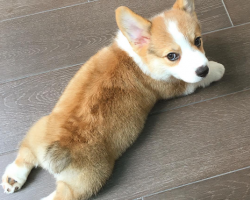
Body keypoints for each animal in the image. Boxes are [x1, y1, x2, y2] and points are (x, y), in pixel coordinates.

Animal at [1, 0, 225, 199]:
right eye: (172, 56)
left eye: (198, 41)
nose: (202, 69)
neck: (138, 53)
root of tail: (55, 152)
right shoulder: (174, 85)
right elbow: (194, 81)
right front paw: (216, 69)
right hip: (91, 179)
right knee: (64, 195)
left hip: (37, 130)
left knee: (25, 154)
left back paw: (13, 178)